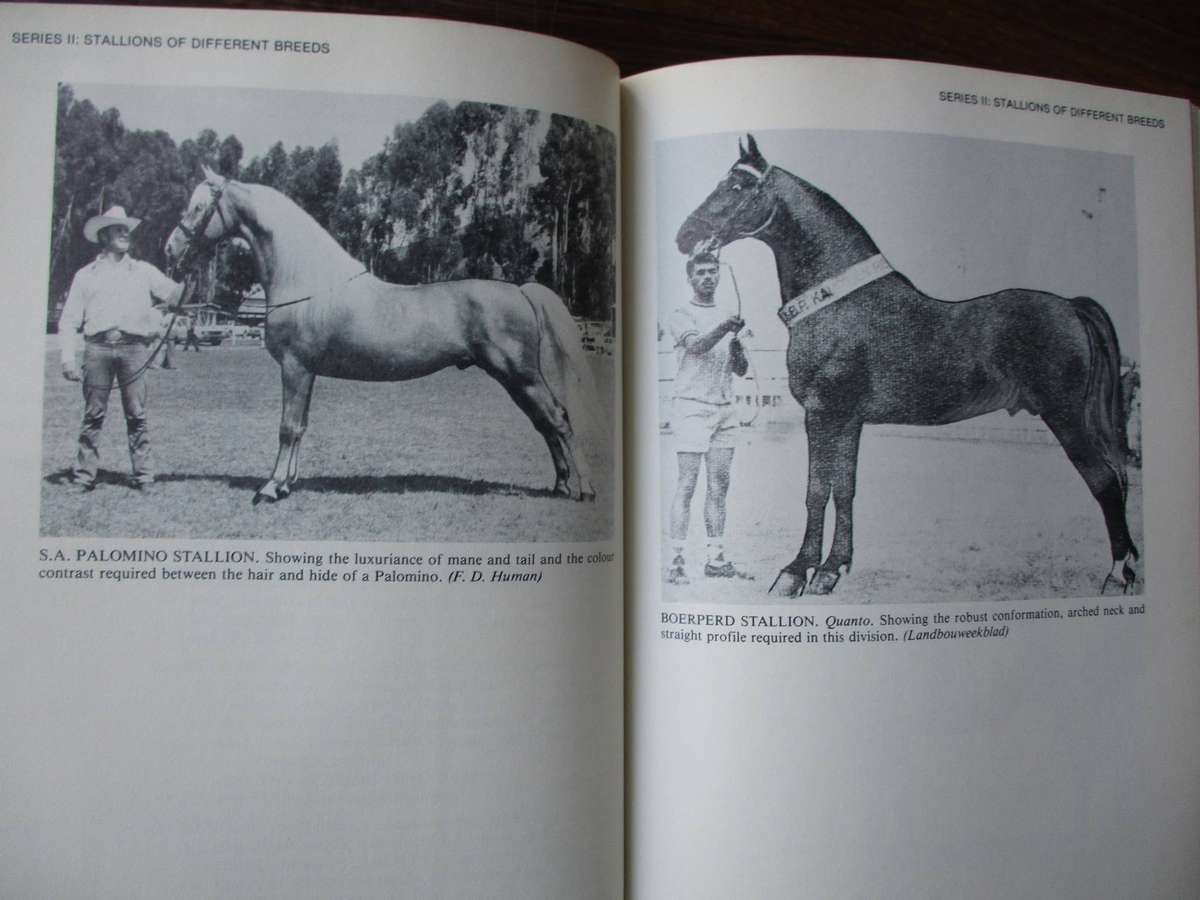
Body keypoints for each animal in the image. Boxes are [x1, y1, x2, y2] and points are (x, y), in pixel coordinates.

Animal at [165, 166, 599, 504]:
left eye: (199, 207)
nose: (170, 250)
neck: (307, 280)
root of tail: (521, 291)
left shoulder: (294, 367)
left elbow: (287, 427)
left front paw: (270, 488)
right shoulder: (306, 372)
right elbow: (301, 427)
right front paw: (286, 484)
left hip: (521, 375)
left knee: (558, 420)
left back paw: (584, 489)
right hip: (513, 379)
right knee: (543, 424)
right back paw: (560, 485)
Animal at [676, 135, 1137, 597]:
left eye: (736, 186)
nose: (685, 236)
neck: (839, 303)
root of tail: (1073, 307)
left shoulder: (823, 414)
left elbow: (815, 491)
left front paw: (796, 572)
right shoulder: (848, 420)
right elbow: (844, 490)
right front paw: (832, 569)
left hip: (1066, 418)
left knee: (1105, 481)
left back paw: (1117, 574)